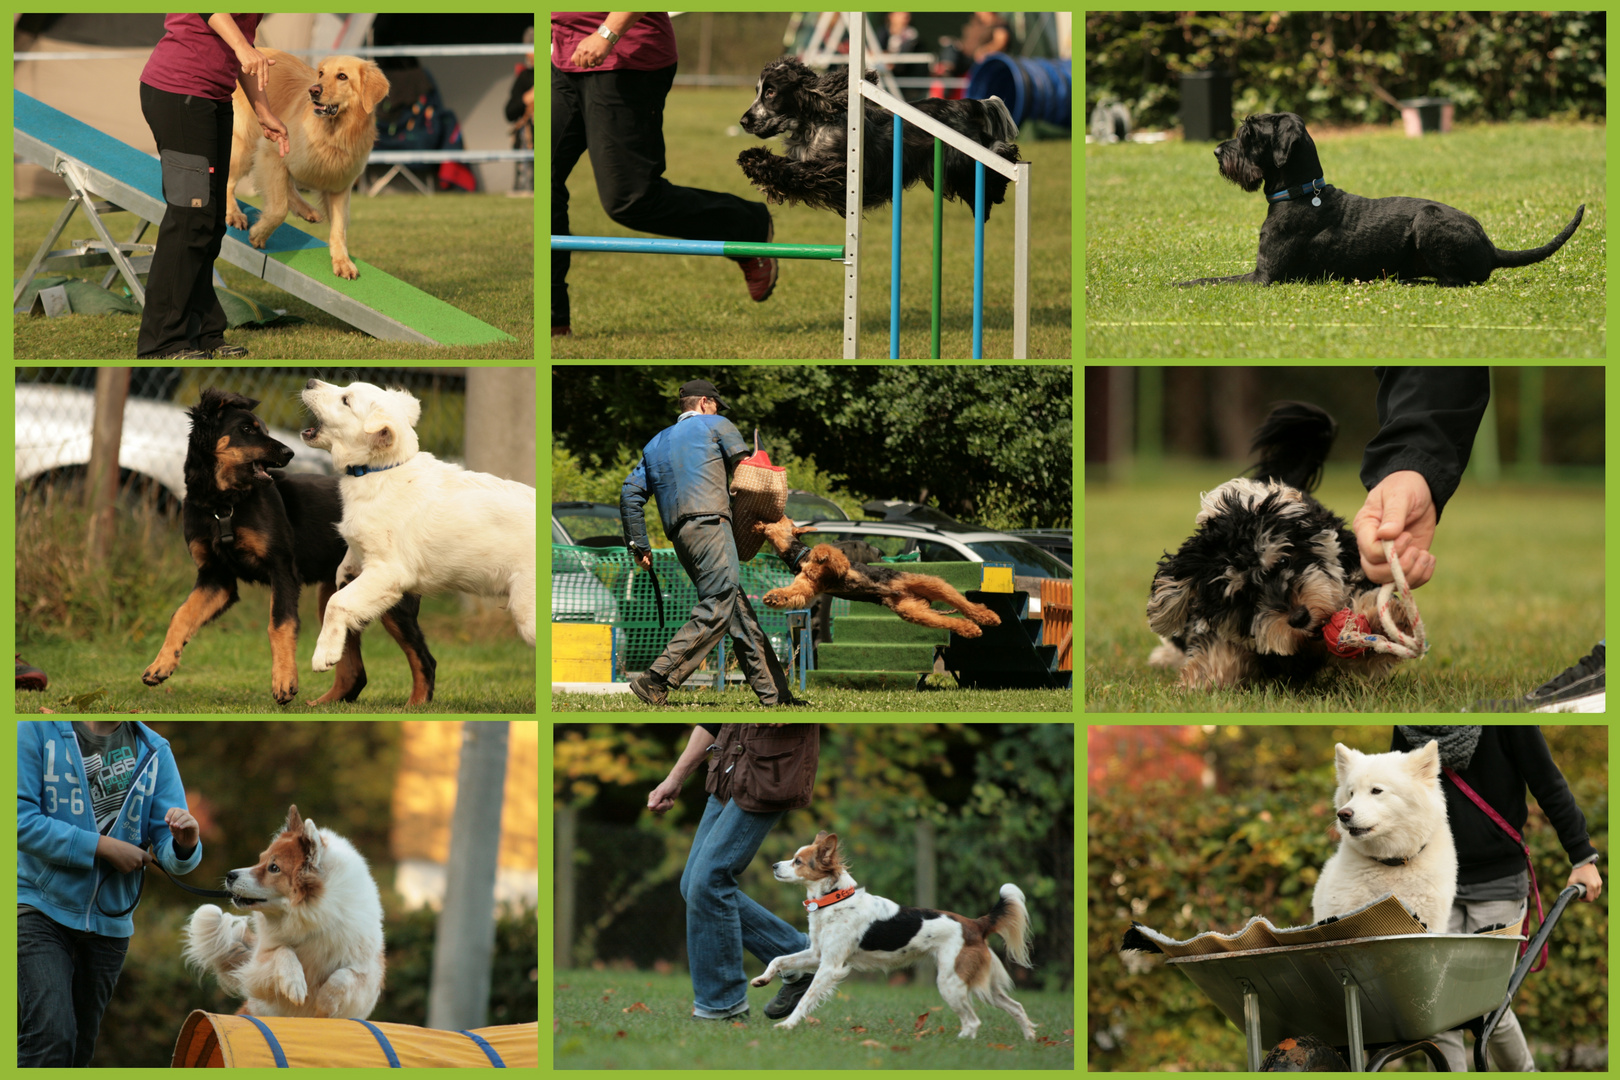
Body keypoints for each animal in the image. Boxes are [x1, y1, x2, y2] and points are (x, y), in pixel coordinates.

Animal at [143, 393, 434, 705]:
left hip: (391, 597)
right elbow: (181, 616)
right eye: (246, 429)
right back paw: (324, 704)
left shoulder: (281, 569)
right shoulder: (216, 577)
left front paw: (284, 681)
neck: (224, 506)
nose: (289, 452)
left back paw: (416, 705)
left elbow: (279, 624)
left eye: (264, 429)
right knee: (355, 670)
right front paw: (161, 665)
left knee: (424, 658)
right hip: (338, 593)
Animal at [298, 375, 537, 670]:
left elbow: (337, 601)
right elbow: (345, 567)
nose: (309, 382)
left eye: (346, 400)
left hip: (528, 610)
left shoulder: (389, 571)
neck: (379, 471)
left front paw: (324, 653)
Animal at [748, 835, 1030, 1036]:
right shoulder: (818, 954)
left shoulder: (830, 965)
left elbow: (806, 998)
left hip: (951, 982)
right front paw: (762, 979)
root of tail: (975, 923)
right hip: (982, 984)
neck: (834, 900)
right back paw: (1030, 1039)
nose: (774, 865)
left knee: (972, 1022)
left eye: (797, 861)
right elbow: (778, 959)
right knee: (1016, 1007)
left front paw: (788, 1025)